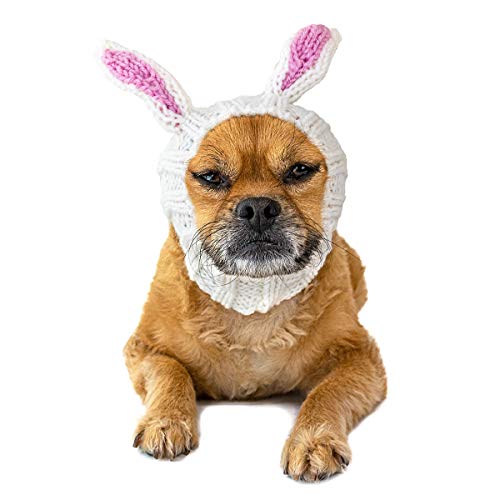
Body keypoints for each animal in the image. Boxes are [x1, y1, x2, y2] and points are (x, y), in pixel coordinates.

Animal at [103, 24, 386, 482]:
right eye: (210, 177)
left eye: (300, 171)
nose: (257, 207)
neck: (251, 306)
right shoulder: (143, 349)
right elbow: (170, 372)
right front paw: (166, 421)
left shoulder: (361, 357)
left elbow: (327, 393)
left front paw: (313, 439)